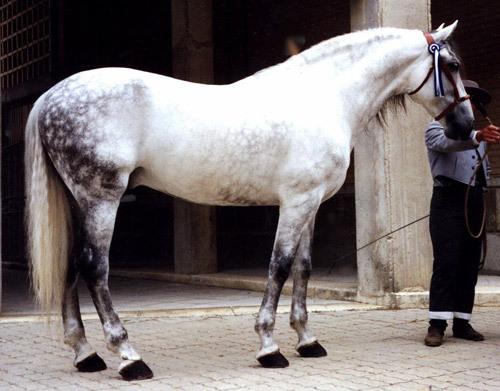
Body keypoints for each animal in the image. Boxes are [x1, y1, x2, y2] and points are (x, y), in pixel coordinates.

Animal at [26, 23, 472, 382]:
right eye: (451, 65)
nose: (465, 126)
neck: (324, 96)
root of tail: (50, 97)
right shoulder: (295, 203)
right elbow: (279, 268)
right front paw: (269, 347)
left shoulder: (310, 205)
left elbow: (303, 268)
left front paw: (307, 340)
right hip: (102, 198)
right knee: (94, 268)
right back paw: (129, 358)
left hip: (79, 201)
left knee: (71, 265)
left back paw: (86, 355)